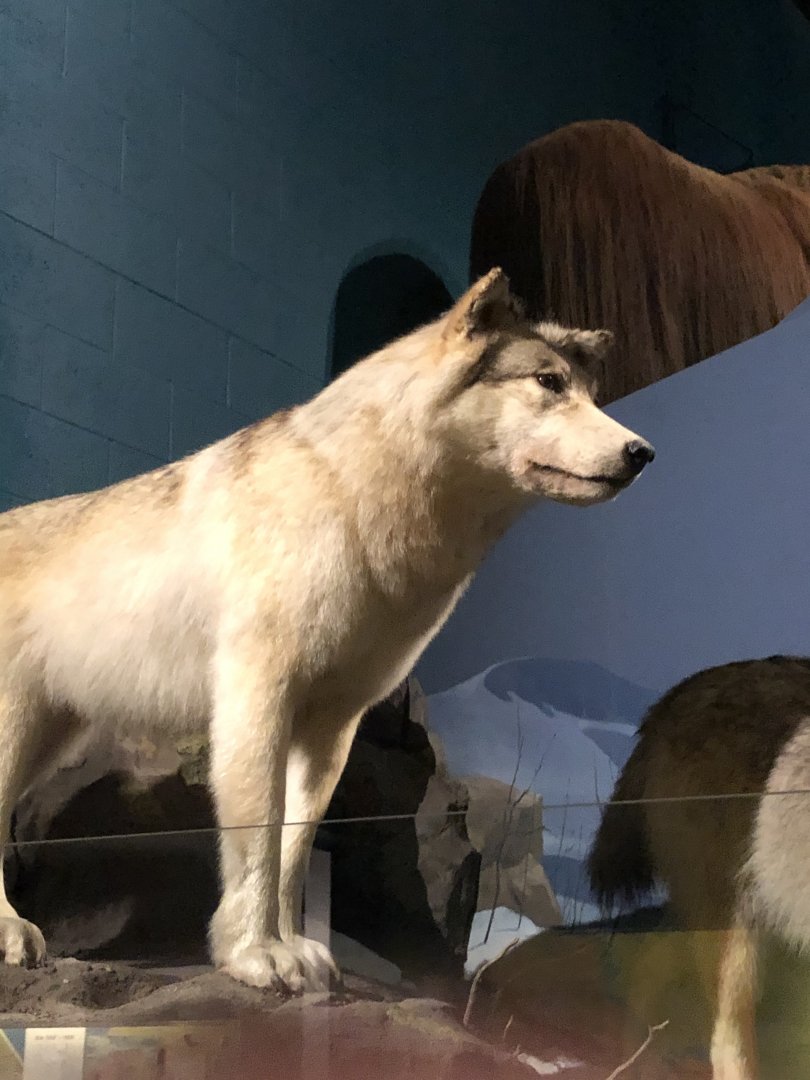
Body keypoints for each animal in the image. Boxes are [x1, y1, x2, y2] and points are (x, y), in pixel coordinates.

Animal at [0, 269, 654, 991]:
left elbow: (293, 847)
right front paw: (254, 955)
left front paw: (291, 950)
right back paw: (12, 935)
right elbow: (258, 839)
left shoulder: (332, 728)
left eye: (590, 394)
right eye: (546, 383)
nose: (643, 452)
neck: (357, 500)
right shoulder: (258, 699)